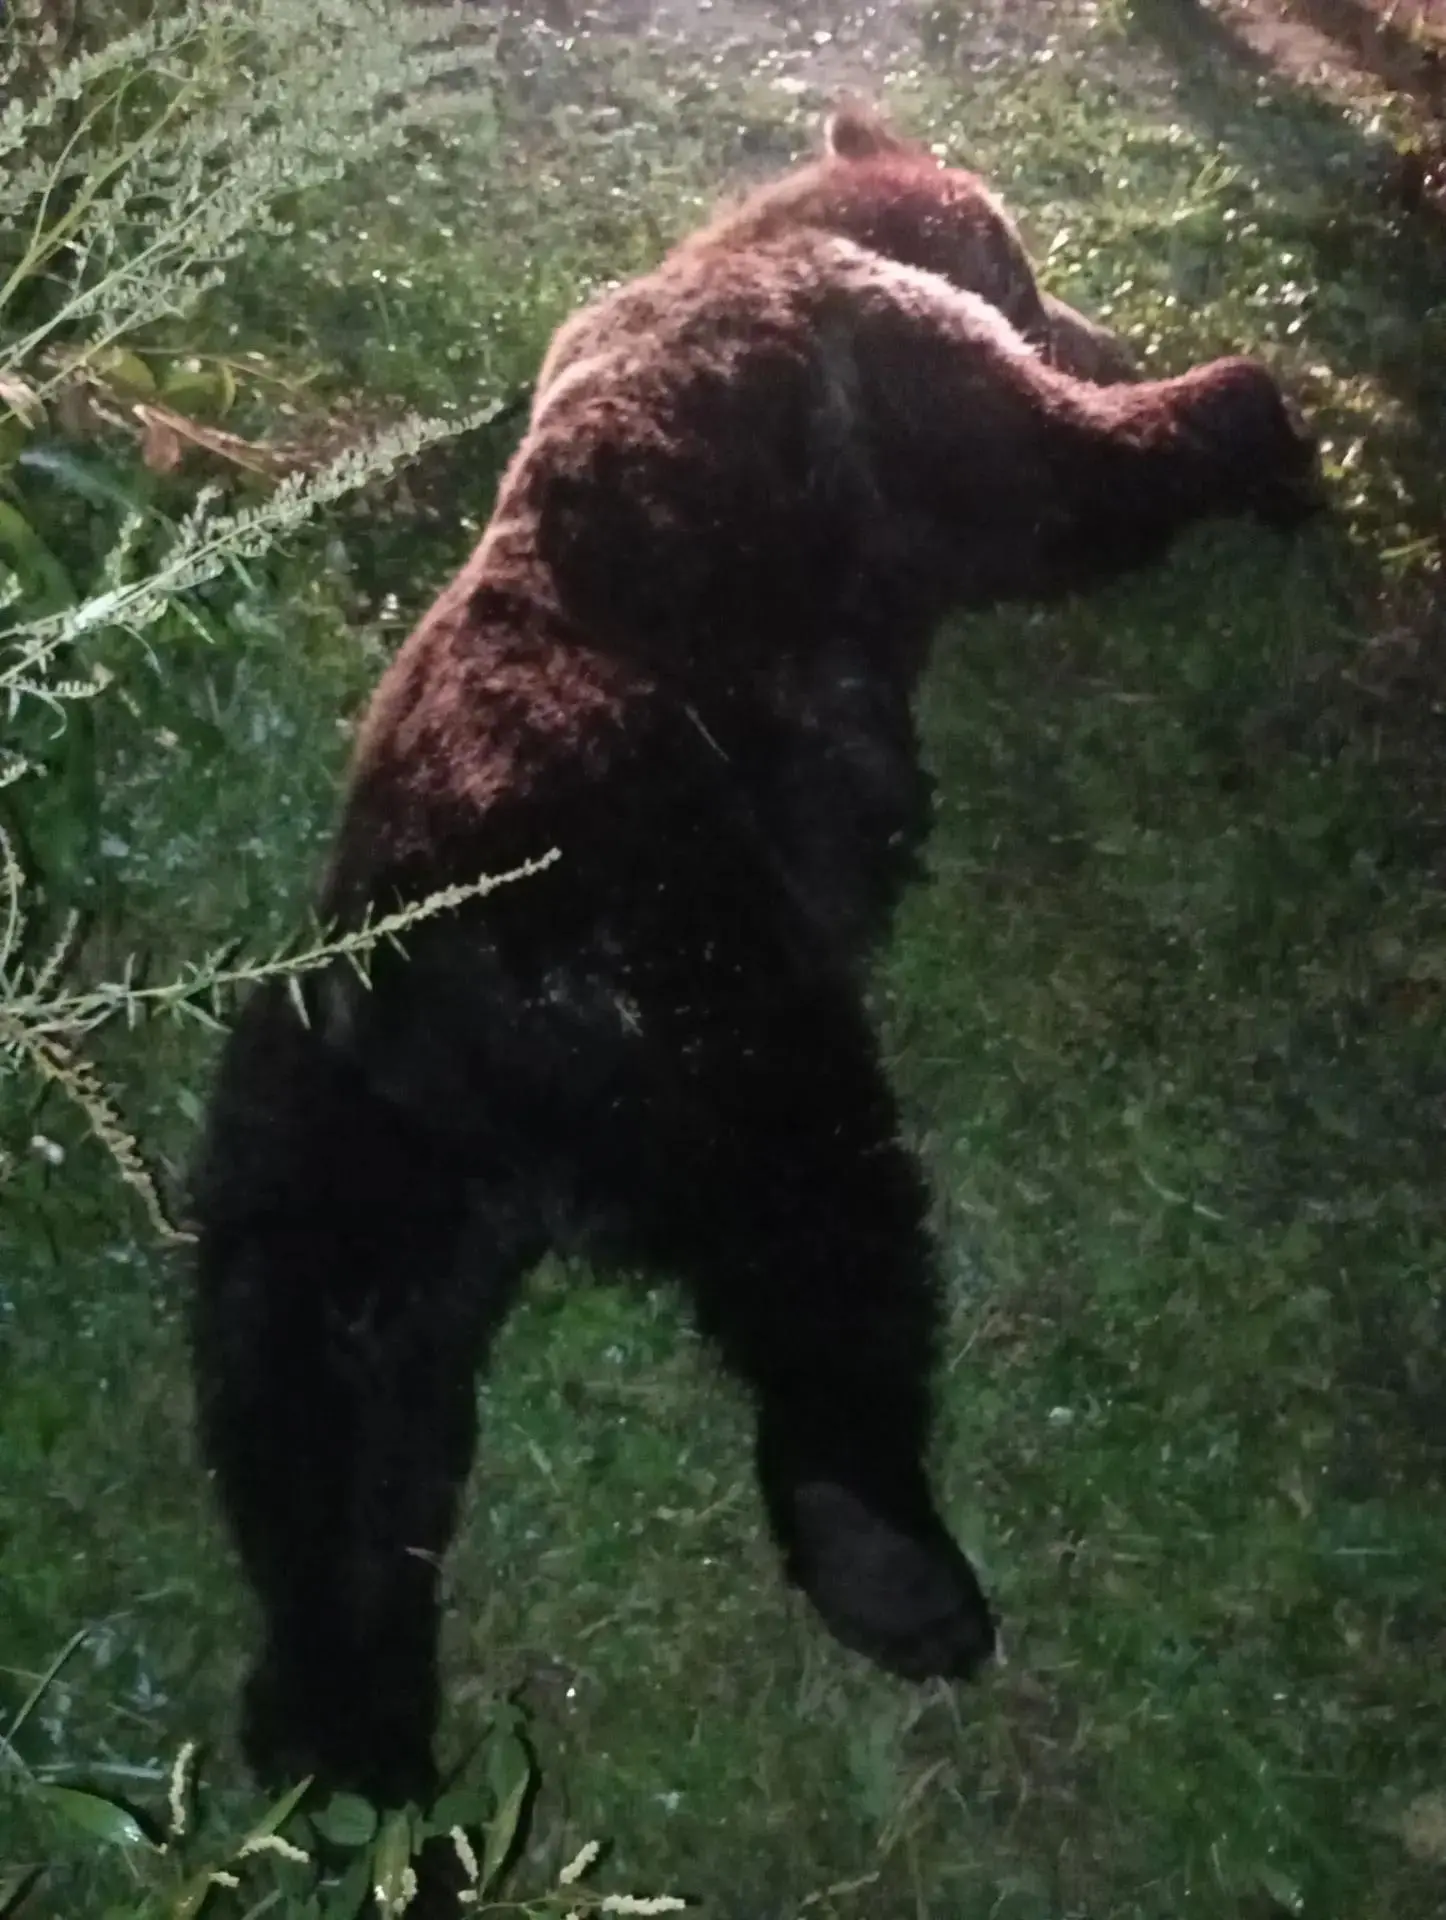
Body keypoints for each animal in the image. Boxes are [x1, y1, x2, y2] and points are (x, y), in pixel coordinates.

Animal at [189, 106, 1322, 1810]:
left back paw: (349, 1744)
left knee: (319, 1426)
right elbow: (1066, 479)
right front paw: (1258, 431)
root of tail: (443, 1009)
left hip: (317, 1155)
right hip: (707, 999)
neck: (759, 247)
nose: (1084, 318)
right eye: (1023, 269)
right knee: (826, 1248)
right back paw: (895, 1566)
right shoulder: (902, 394)